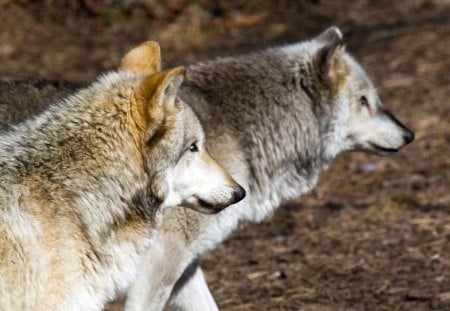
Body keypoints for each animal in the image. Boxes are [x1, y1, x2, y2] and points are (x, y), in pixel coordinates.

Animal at [120, 26, 414, 311]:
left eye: (374, 99)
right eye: (364, 100)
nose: (409, 134)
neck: (240, 131)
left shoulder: (187, 263)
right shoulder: (164, 257)